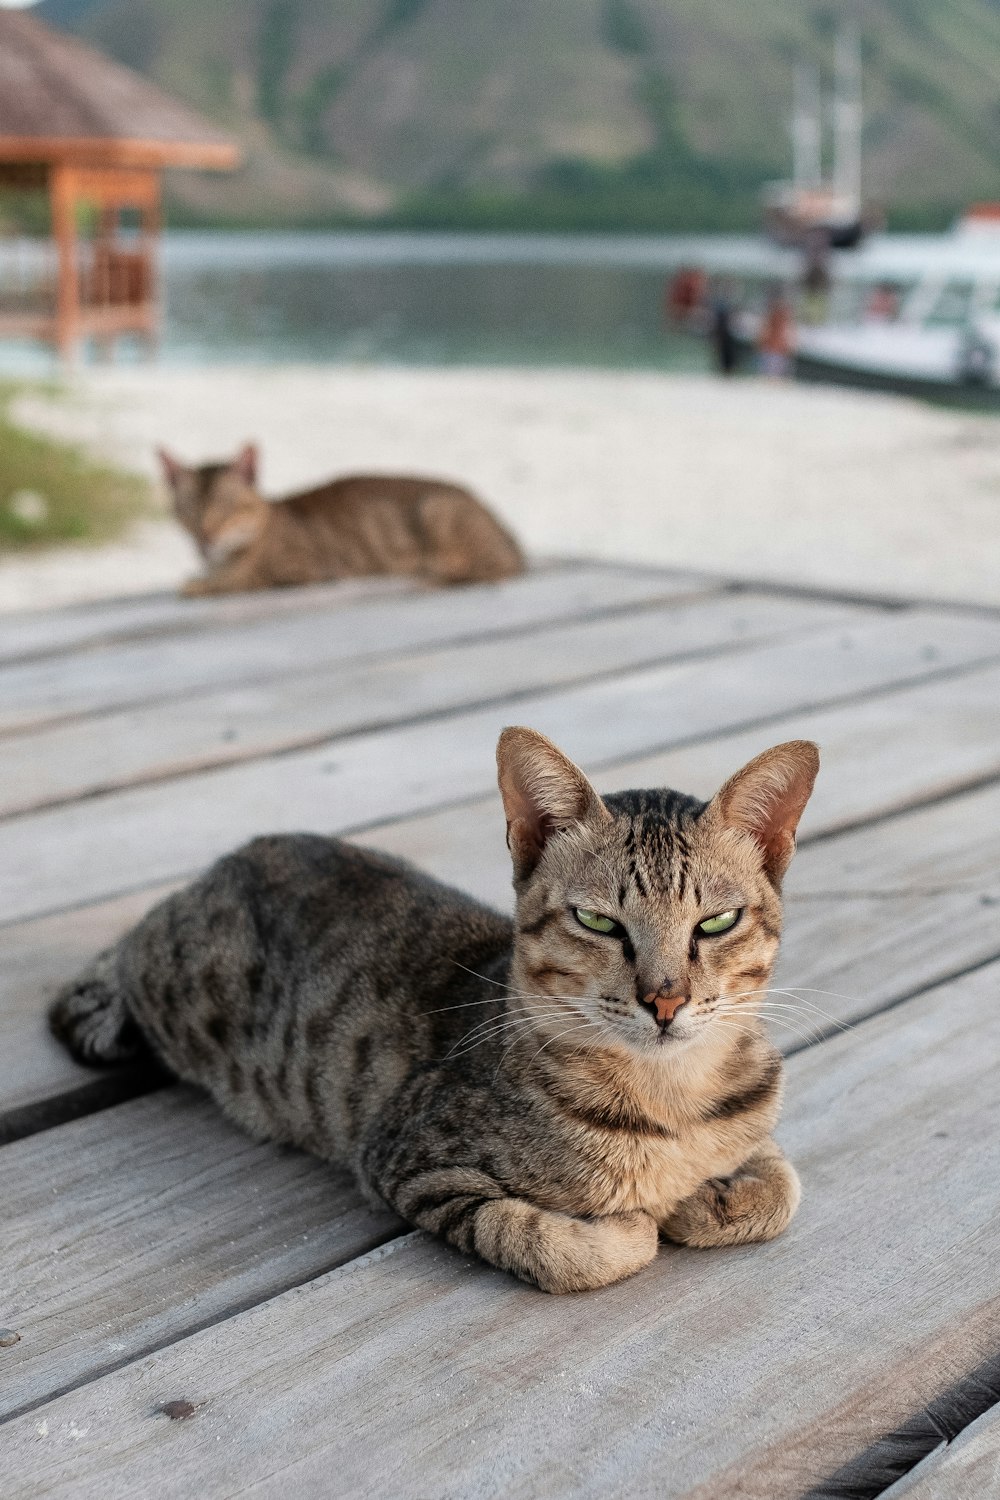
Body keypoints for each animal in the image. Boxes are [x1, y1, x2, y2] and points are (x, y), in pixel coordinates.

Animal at [50, 732, 815, 1296]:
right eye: (598, 921)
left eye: (716, 922)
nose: (665, 999)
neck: (669, 1097)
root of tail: (220, 867)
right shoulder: (409, 1163)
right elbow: (555, 1242)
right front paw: (639, 1221)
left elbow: (783, 1185)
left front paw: (708, 1197)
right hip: (172, 989)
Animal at [158, 441, 524, 594]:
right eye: (189, 510)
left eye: (228, 506)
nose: (205, 537)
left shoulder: (308, 567)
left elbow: (244, 579)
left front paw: (202, 584)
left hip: (434, 507)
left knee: (488, 568)